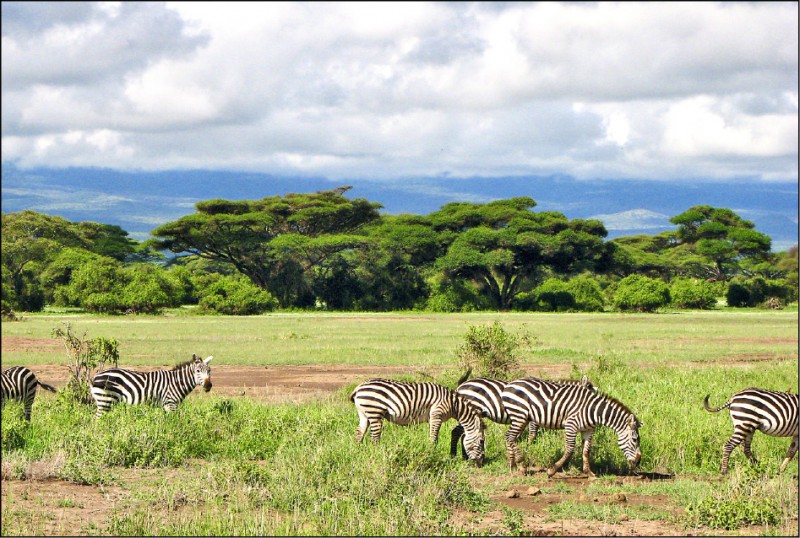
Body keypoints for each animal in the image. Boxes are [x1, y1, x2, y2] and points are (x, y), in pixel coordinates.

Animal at [350, 378, 488, 462]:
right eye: (482, 441)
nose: (481, 462)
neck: (454, 405)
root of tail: (359, 387)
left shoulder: (432, 418)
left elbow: (432, 436)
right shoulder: (437, 415)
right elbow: (434, 439)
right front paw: (432, 455)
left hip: (364, 414)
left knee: (359, 433)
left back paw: (358, 453)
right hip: (375, 412)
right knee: (374, 438)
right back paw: (377, 455)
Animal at [450, 374, 592, 458]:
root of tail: (461, 386)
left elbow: (518, 435)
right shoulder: (534, 418)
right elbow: (532, 434)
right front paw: (529, 448)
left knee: (464, 433)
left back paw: (464, 455)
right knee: (457, 432)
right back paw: (455, 455)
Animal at [500, 374, 644, 476]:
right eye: (635, 439)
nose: (638, 461)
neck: (593, 410)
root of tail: (510, 384)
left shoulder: (588, 430)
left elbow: (586, 450)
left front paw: (589, 472)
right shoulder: (571, 425)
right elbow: (569, 449)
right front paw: (552, 470)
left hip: (523, 418)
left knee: (510, 437)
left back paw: (513, 465)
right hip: (519, 415)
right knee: (510, 437)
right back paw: (521, 463)